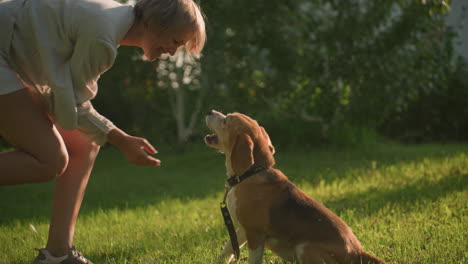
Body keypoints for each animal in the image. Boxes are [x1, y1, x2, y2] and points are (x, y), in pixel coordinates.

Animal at [204, 111, 384, 264]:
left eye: (226, 121)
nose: (210, 111)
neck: (252, 173)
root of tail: (357, 252)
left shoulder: (255, 233)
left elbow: (252, 259)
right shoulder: (242, 229)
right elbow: (228, 250)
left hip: (305, 248)